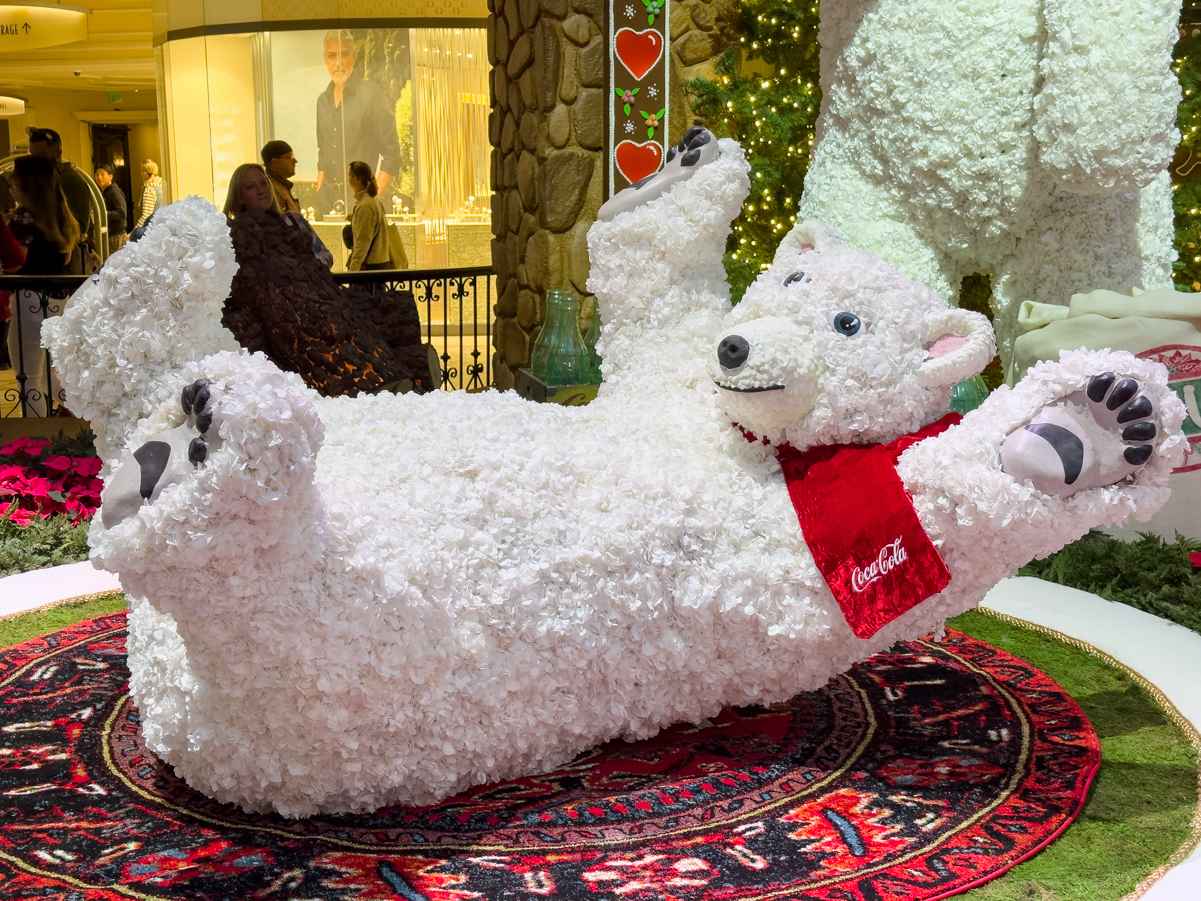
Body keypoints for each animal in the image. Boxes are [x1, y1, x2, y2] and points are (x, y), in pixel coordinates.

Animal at [44, 137, 1181, 821]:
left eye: (849, 323)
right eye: (788, 277)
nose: (738, 349)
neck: (746, 436)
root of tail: (164, 690)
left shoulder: (795, 551)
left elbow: (906, 540)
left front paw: (1080, 428)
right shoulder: (670, 377)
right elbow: (654, 303)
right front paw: (675, 184)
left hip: (367, 692)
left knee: (282, 612)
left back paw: (190, 465)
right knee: (138, 371)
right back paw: (160, 280)